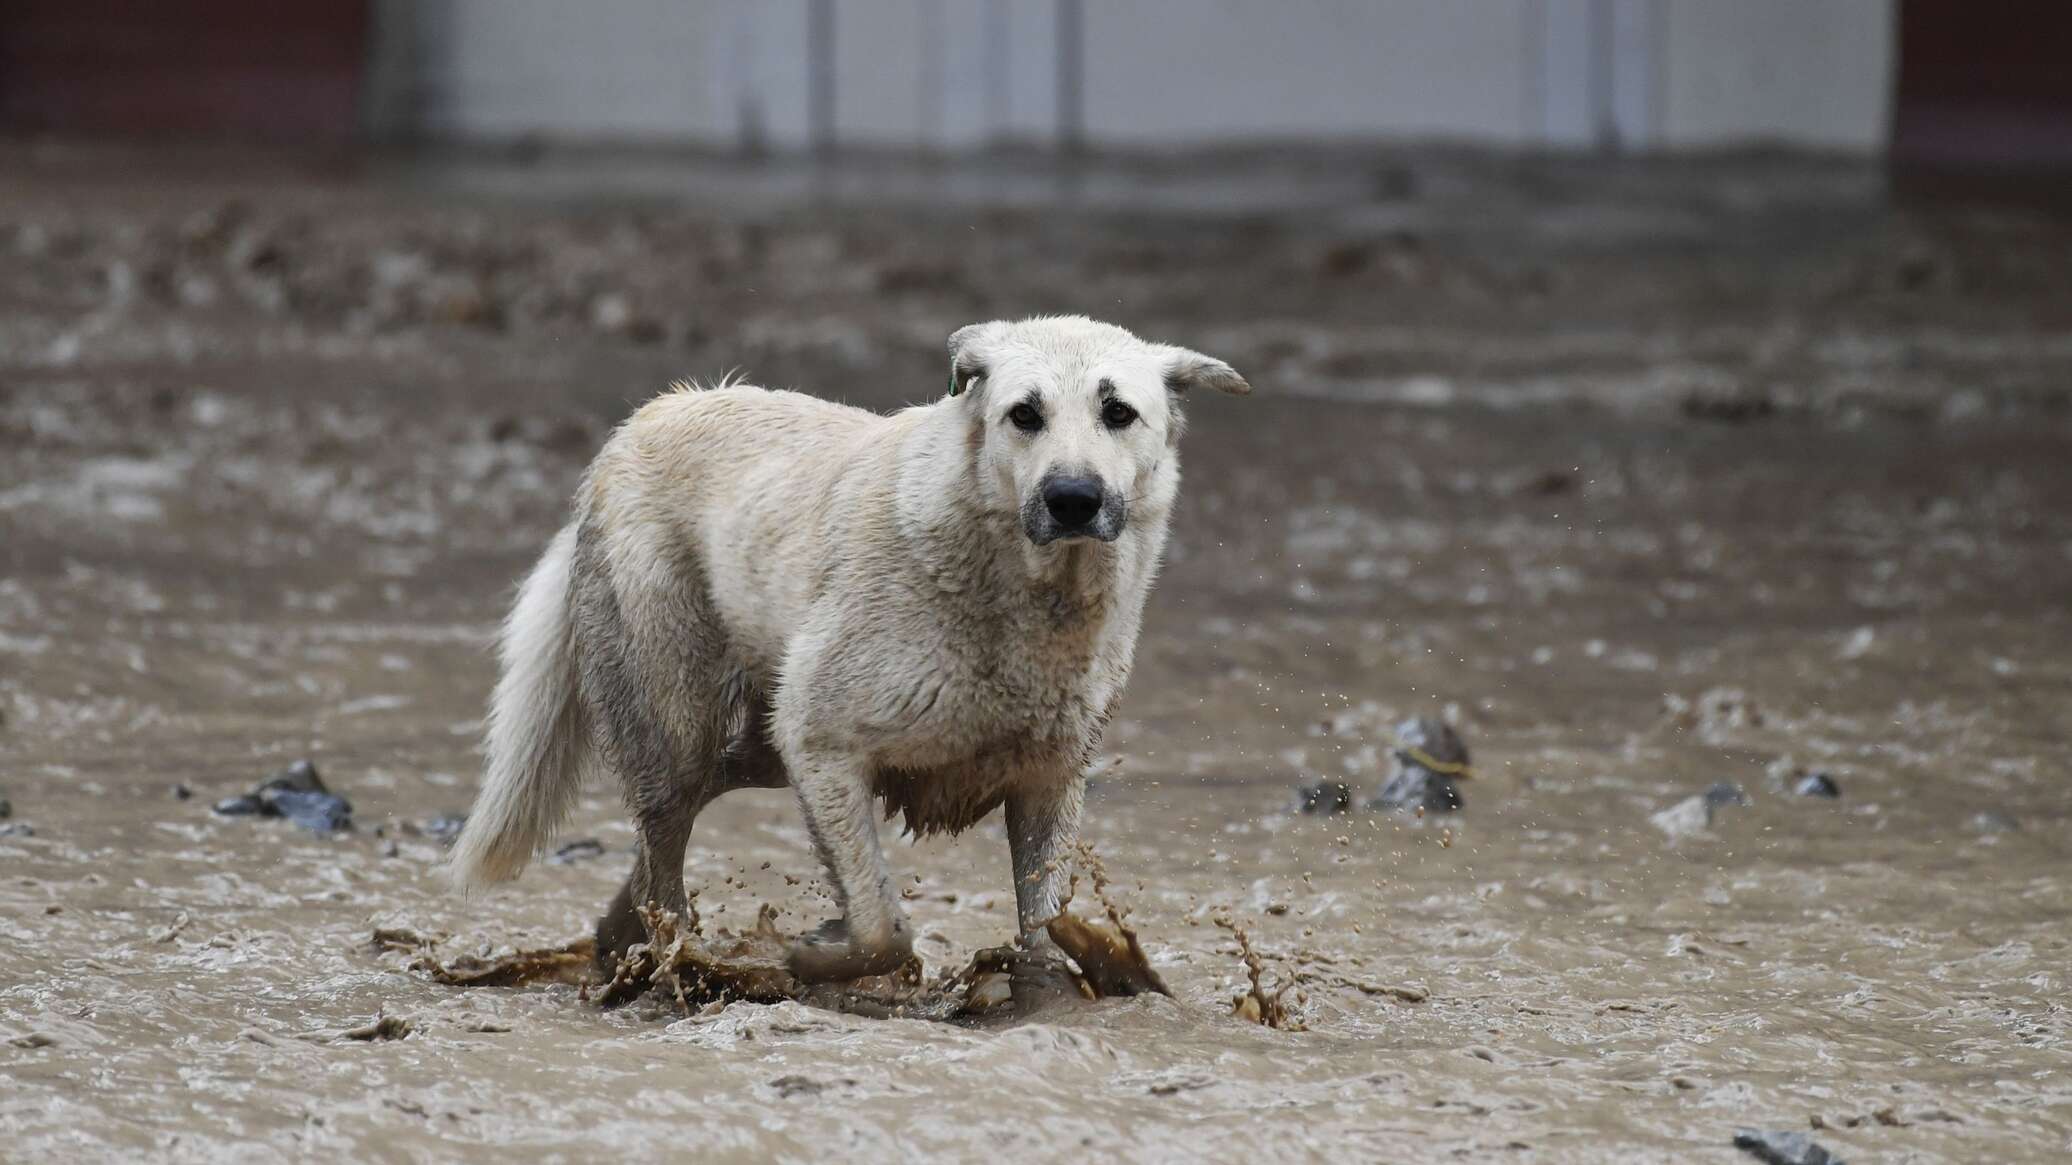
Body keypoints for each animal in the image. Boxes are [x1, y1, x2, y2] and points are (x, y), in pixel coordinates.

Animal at [449, 315, 1243, 978]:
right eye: (1025, 414)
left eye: (1118, 412)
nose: (1073, 498)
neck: (1022, 592)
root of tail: (646, 417)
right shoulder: (822, 741)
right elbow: (882, 926)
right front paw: (815, 955)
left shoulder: (1048, 780)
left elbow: (1045, 924)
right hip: (676, 719)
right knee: (667, 832)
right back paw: (673, 955)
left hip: (760, 741)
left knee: (692, 807)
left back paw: (620, 936)